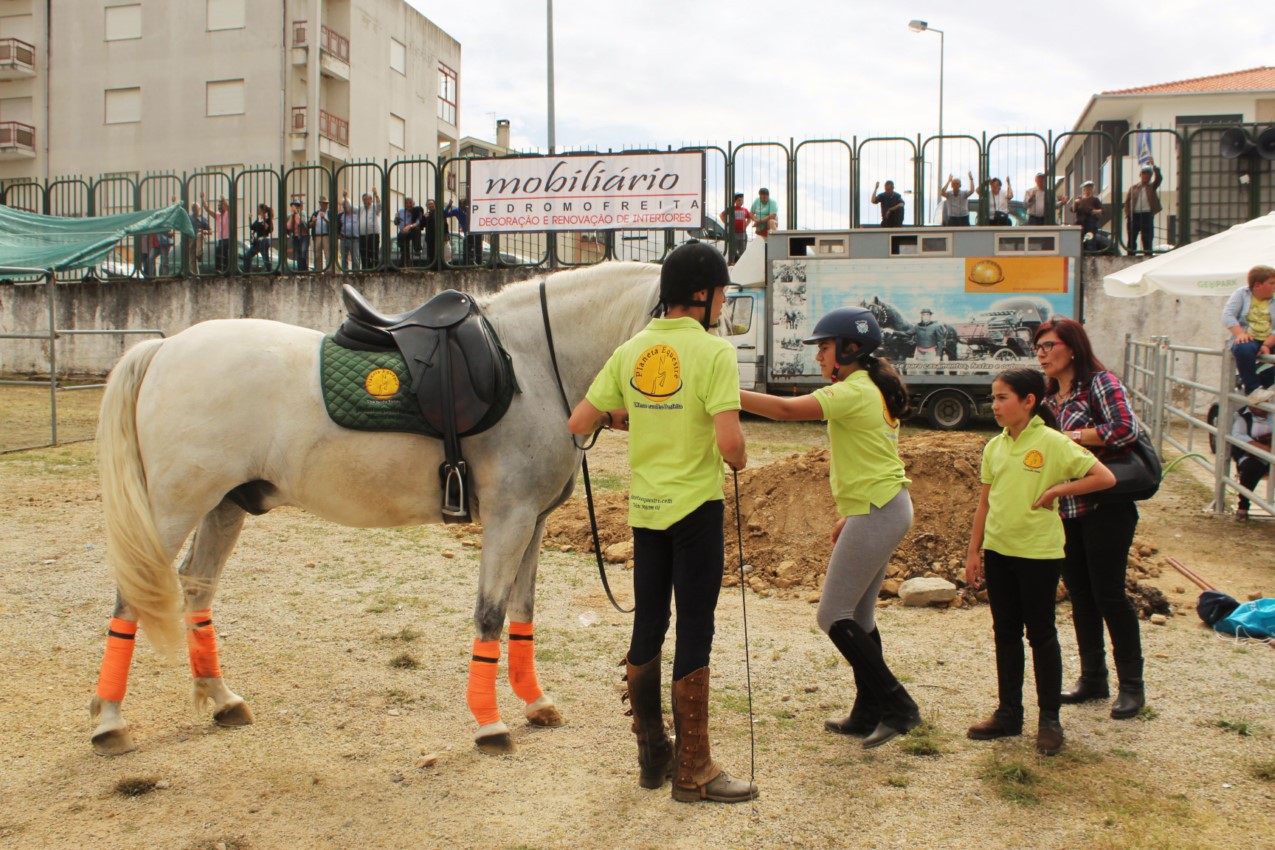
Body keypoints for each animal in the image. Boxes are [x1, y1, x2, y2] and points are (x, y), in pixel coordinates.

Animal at [92, 262, 657, 754]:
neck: (534, 362)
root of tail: (163, 350)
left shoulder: (533, 520)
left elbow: (522, 609)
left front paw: (535, 702)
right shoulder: (508, 517)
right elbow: (490, 614)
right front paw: (490, 724)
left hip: (226, 506)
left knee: (197, 587)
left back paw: (222, 699)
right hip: (175, 508)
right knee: (133, 594)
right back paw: (109, 722)